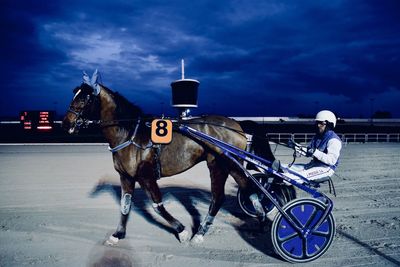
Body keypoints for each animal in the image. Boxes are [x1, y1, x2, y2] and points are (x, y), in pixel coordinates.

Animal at [62, 70, 276, 245]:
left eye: (84, 98)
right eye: (75, 94)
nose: (66, 123)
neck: (130, 133)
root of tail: (236, 124)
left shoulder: (146, 175)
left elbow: (157, 206)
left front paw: (182, 231)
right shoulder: (126, 176)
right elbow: (125, 205)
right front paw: (118, 235)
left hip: (220, 165)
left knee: (219, 197)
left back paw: (200, 233)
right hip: (231, 165)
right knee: (248, 189)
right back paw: (261, 223)